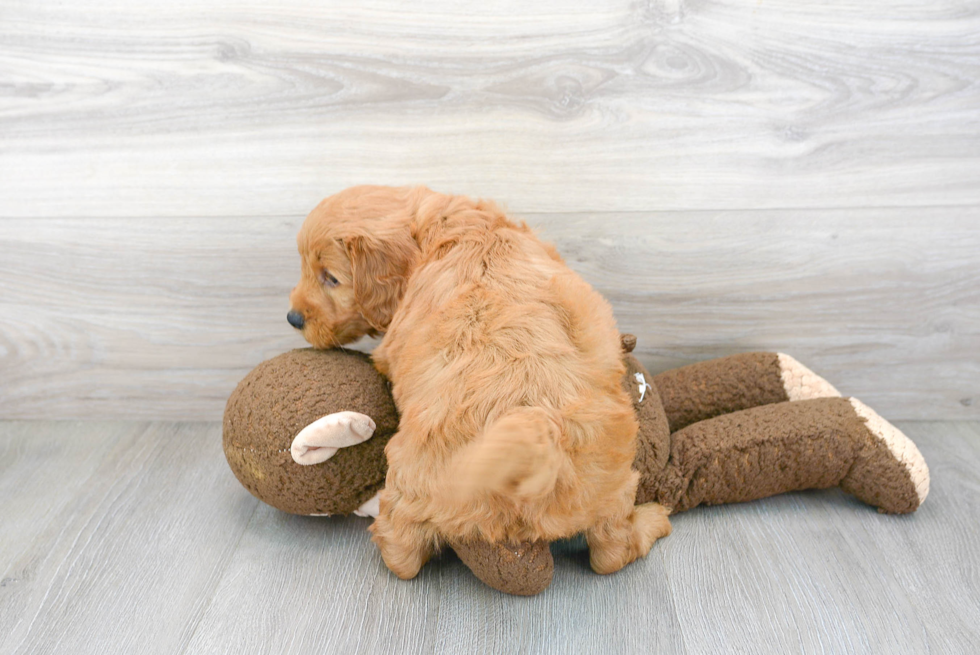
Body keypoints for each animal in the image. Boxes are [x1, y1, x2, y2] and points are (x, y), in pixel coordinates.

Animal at [290, 184, 672, 580]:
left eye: (331, 278)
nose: (292, 318)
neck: (444, 229)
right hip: (607, 480)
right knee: (611, 551)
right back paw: (654, 519)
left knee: (402, 557)